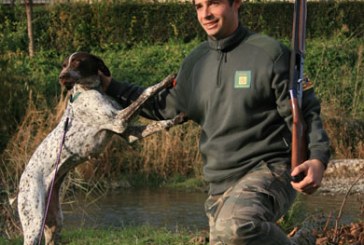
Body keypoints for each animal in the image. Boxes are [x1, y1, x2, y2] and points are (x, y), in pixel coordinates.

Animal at [17, 52, 185, 245]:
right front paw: (165, 80)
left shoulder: (128, 133)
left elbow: (157, 123)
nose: (62, 77)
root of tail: (21, 185)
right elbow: (147, 91)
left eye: (77, 62)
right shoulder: (118, 121)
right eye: (64, 65)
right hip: (34, 223)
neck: (88, 90)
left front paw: (176, 119)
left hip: (54, 222)